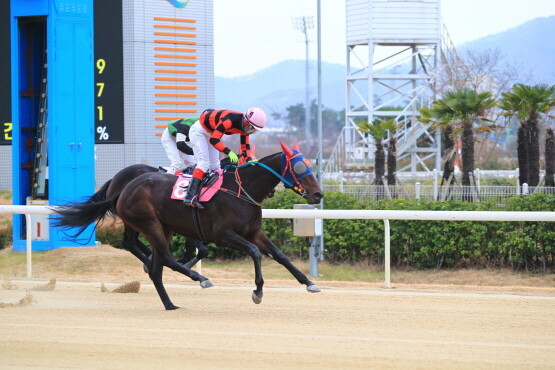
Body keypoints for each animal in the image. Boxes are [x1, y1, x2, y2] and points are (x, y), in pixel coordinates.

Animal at [52, 143, 326, 310]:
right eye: (299, 167)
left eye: (310, 165)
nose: (318, 194)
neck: (240, 190)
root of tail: (122, 188)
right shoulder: (222, 234)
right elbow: (255, 253)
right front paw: (257, 292)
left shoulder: (253, 232)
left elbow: (279, 254)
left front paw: (309, 282)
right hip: (149, 223)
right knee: (156, 255)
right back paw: (198, 278)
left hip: (162, 227)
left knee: (156, 265)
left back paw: (170, 302)